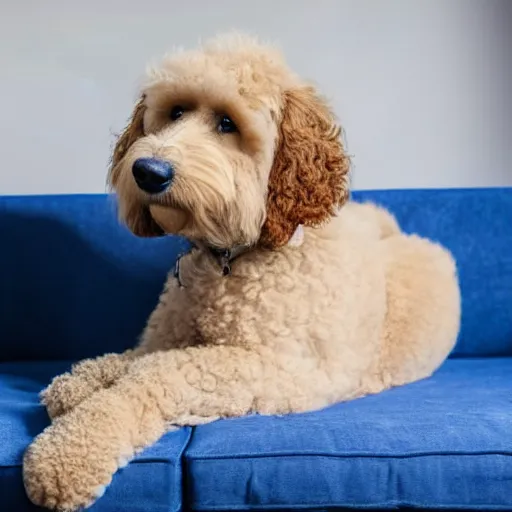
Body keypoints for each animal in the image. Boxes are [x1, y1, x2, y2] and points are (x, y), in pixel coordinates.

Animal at [23, 33, 460, 512]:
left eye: (227, 123)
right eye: (175, 112)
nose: (147, 171)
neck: (229, 260)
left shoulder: (276, 368)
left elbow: (155, 373)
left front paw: (68, 452)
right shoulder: (167, 337)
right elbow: (133, 358)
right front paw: (77, 382)